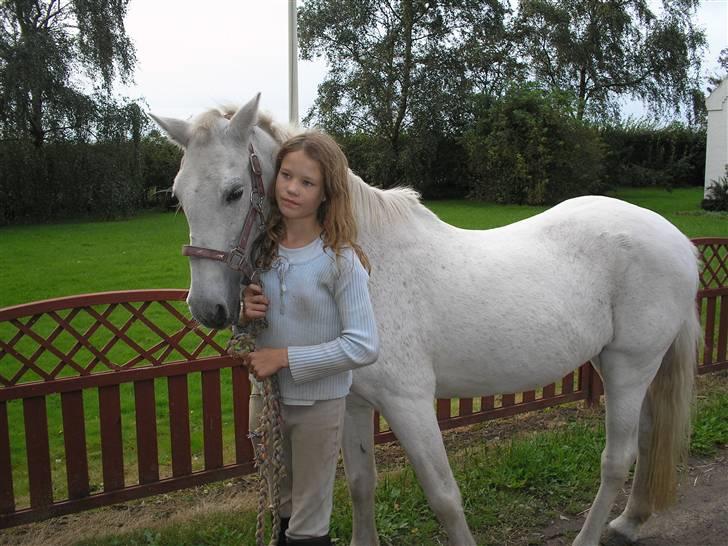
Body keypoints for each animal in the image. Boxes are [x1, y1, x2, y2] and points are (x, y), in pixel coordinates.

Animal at [150, 94, 700, 546]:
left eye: (234, 192)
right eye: (178, 194)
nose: (208, 308)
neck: (361, 266)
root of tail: (677, 239)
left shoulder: (409, 403)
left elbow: (444, 497)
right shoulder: (353, 401)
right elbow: (360, 486)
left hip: (630, 365)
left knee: (616, 458)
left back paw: (591, 535)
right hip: (619, 365)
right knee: (647, 435)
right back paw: (629, 521)